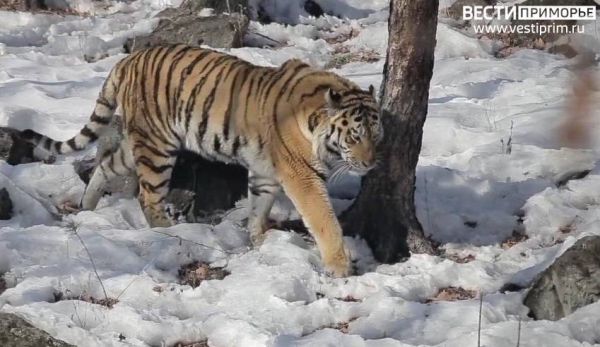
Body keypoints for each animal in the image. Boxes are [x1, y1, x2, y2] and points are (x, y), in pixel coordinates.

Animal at [22, 44, 384, 278]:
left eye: (376, 136)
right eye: (355, 137)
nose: (370, 165)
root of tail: (128, 60)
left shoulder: (264, 169)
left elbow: (259, 205)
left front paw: (258, 241)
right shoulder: (302, 174)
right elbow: (324, 219)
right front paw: (339, 266)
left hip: (138, 140)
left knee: (107, 165)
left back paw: (87, 207)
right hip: (158, 145)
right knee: (148, 195)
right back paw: (169, 232)